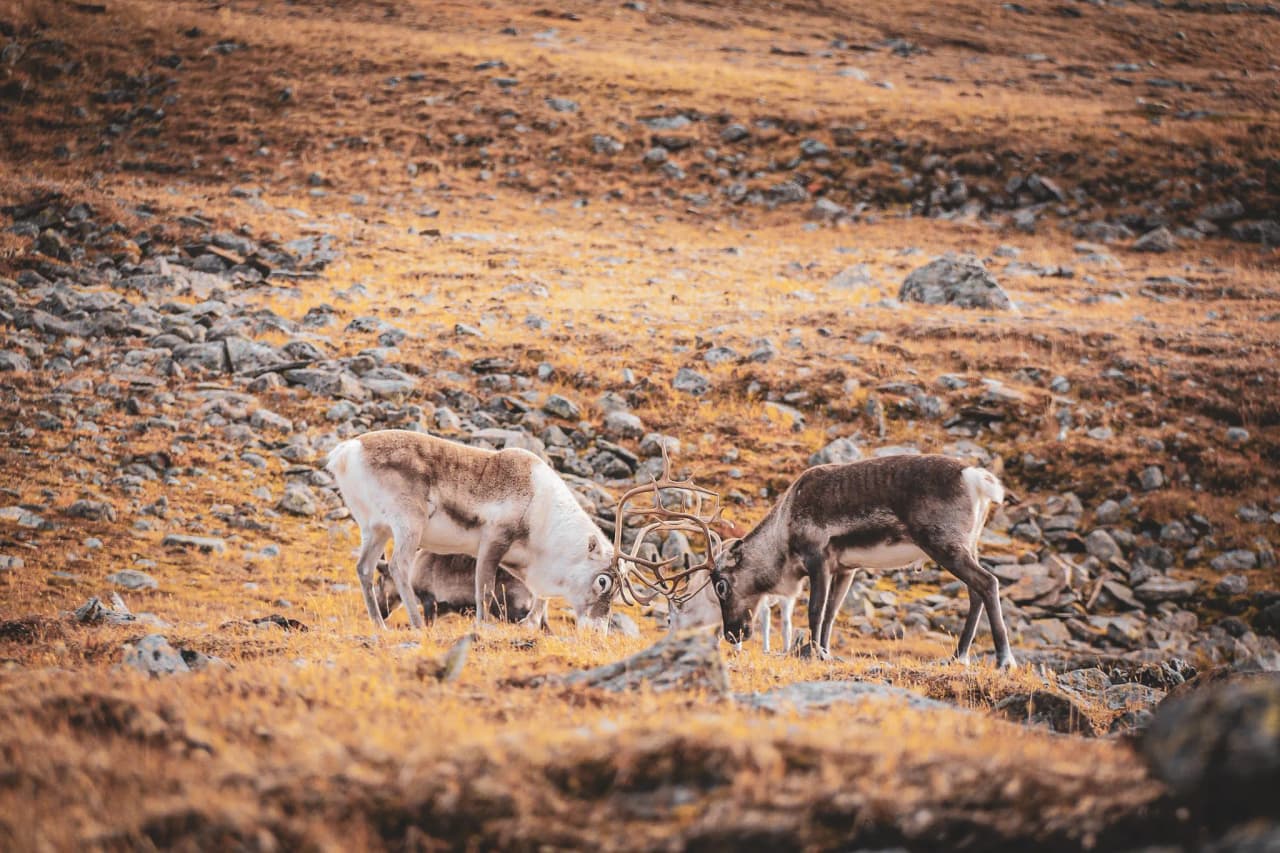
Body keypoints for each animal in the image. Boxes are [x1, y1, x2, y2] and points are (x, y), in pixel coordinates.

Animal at [709, 454, 1016, 668]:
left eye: (721, 586)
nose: (731, 634)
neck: (783, 530)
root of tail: (974, 477)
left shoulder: (818, 559)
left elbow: (815, 610)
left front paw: (815, 653)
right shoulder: (846, 569)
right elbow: (832, 613)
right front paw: (825, 652)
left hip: (944, 545)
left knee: (988, 582)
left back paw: (1004, 659)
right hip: (967, 546)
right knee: (975, 593)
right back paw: (958, 657)